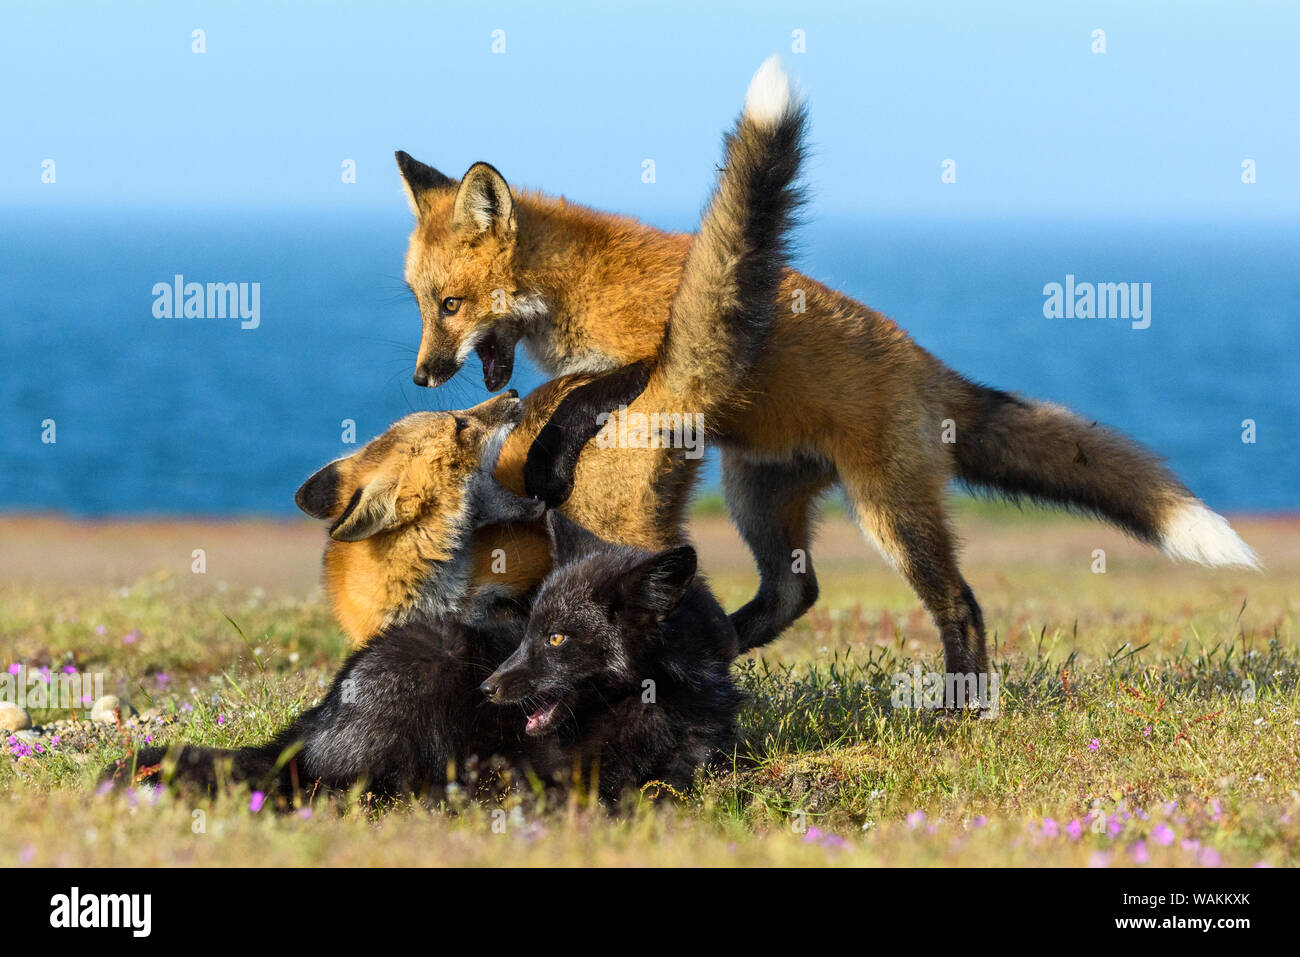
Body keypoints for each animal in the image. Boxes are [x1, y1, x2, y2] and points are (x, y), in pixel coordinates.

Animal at [100, 512, 739, 805]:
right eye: (529, 633)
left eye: (557, 640)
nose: (488, 690)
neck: (646, 708)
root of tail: (317, 718)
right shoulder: (555, 769)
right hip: (429, 678)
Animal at [392, 55, 1259, 678]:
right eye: (420, 302)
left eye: (451, 305)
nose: (423, 377)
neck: (577, 286)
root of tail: (931, 369)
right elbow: (565, 391)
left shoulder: (655, 353)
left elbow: (580, 399)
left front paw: (547, 455)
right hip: (757, 493)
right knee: (793, 591)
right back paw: (727, 644)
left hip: (889, 513)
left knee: (960, 603)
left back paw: (961, 705)